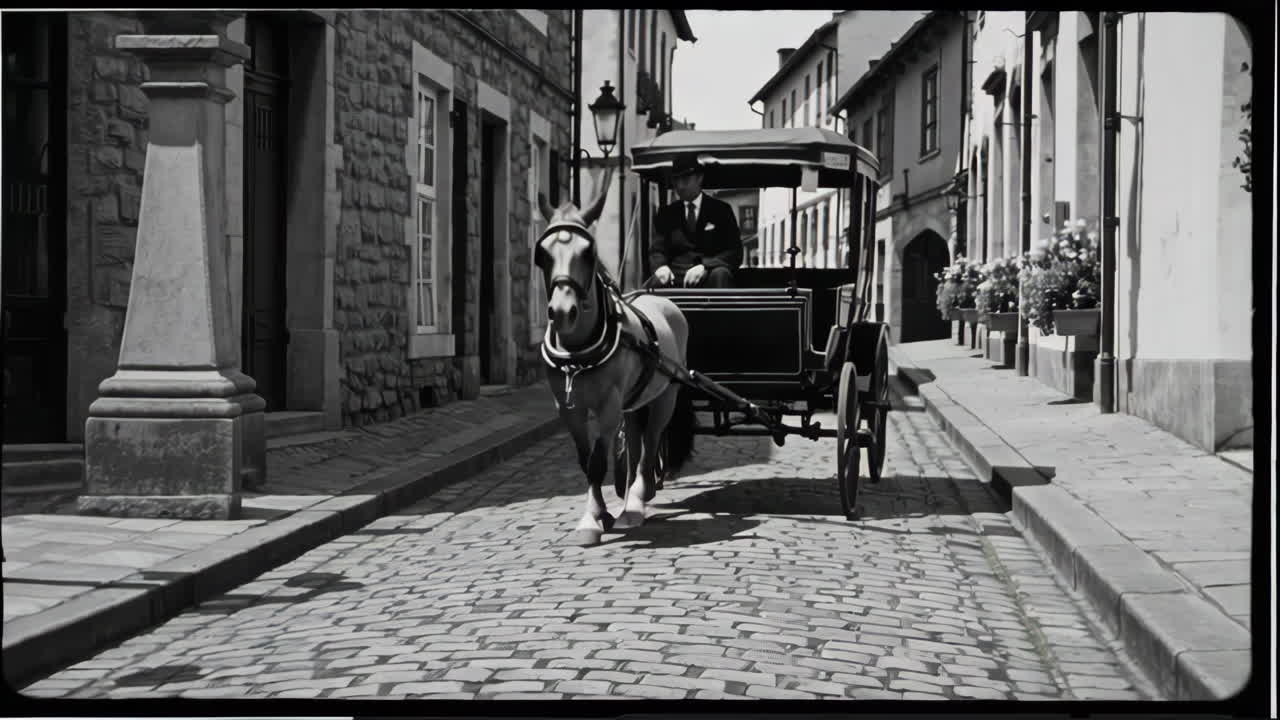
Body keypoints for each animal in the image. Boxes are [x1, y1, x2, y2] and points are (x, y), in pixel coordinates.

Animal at [534, 167, 696, 547]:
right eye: (542, 253)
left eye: (588, 252)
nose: (562, 312)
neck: (577, 352)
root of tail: (660, 297)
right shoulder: (569, 409)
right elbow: (585, 461)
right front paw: (599, 513)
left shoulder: (608, 406)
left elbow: (597, 462)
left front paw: (593, 520)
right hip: (636, 399)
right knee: (636, 440)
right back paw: (632, 496)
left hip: (665, 395)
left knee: (651, 442)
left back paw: (637, 501)